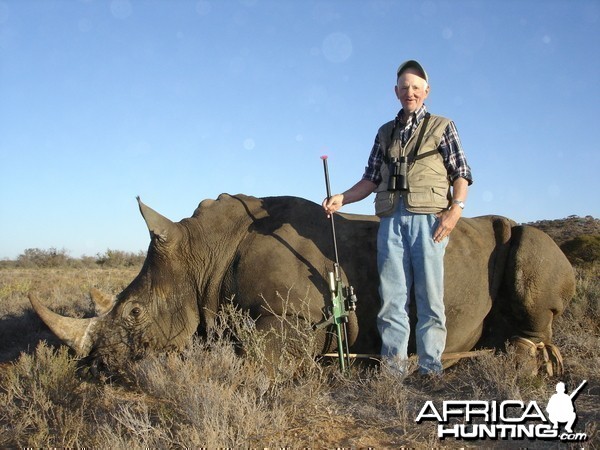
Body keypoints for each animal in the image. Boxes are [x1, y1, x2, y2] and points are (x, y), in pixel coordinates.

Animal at [29, 195, 576, 374]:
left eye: (136, 313)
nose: (99, 367)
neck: (202, 250)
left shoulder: (292, 318)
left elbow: (251, 360)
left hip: (537, 242)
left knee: (531, 253)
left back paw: (522, 361)